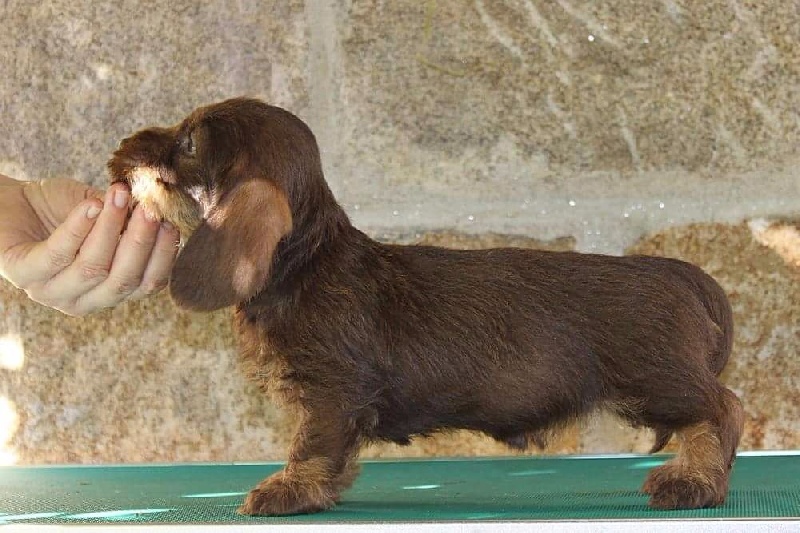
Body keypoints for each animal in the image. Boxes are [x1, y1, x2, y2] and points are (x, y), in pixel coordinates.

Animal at [108, 97, 744, 516]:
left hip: (657, 380)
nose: (119, 151)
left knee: (722, 410)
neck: (305, 263)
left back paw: (694, 481)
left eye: (188, 144)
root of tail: (680, 273)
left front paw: (289, 489)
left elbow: (312, 444)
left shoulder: (331, 390)